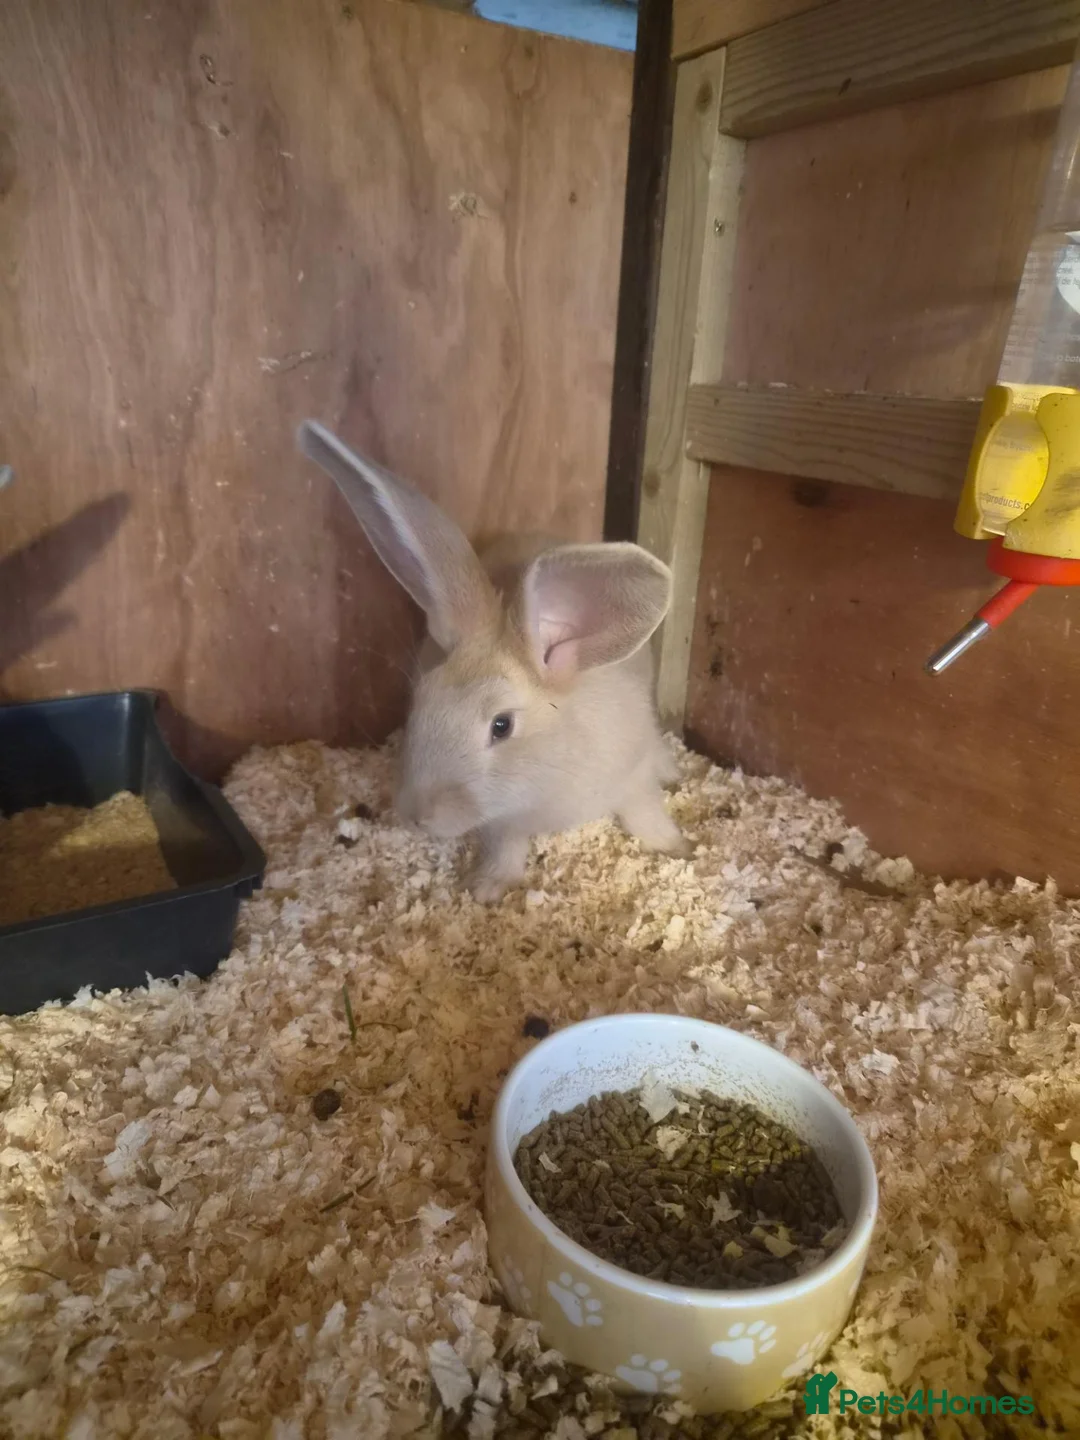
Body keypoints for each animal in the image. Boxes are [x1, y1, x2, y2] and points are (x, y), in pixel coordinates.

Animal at [297, 420, 689, 902]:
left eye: (501, 726)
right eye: (418, 702)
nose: (417, 815)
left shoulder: (631, 782)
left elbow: (645, 813)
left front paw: (676, 848)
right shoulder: (504, 824)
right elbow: (507, 849)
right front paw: (487, 888)